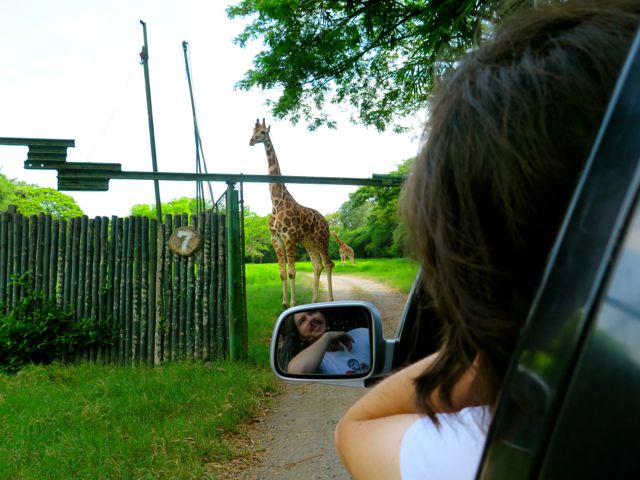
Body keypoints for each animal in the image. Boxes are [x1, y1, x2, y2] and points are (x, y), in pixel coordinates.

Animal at [249, 118, 336, 306]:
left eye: (263, 132)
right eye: (253, 131)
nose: (251, 141)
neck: (276, 202)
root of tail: (326, 221)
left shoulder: (288, 237)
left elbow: (291, 272)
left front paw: (293, 303)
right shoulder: (276, 239)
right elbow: (282, 273)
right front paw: (284, 302)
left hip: (321, 239)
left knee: (328, 263)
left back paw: (331, 299)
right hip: (309, 242)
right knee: (318, 265)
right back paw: (314, 300)